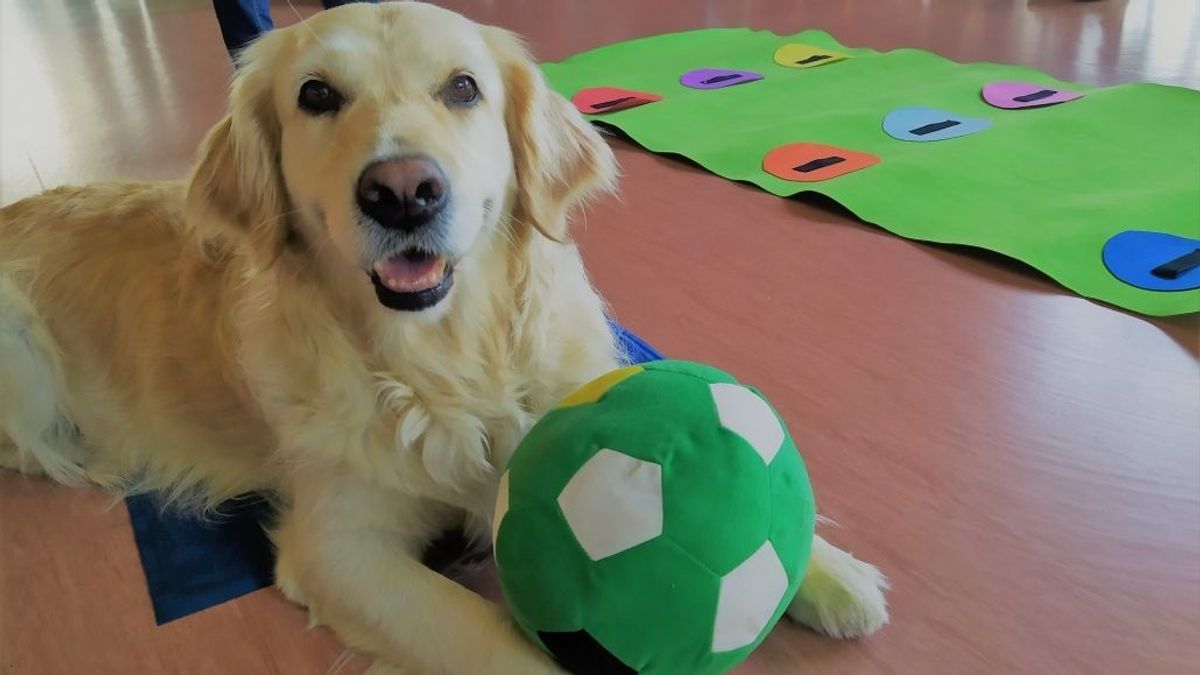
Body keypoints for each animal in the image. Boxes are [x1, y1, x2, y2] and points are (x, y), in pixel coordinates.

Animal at [0, 2, 883, 667]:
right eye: (316, 95)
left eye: (463, 88)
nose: (402, 192)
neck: (447, 355)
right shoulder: (340, 548)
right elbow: (489, 637)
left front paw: (829, 571)